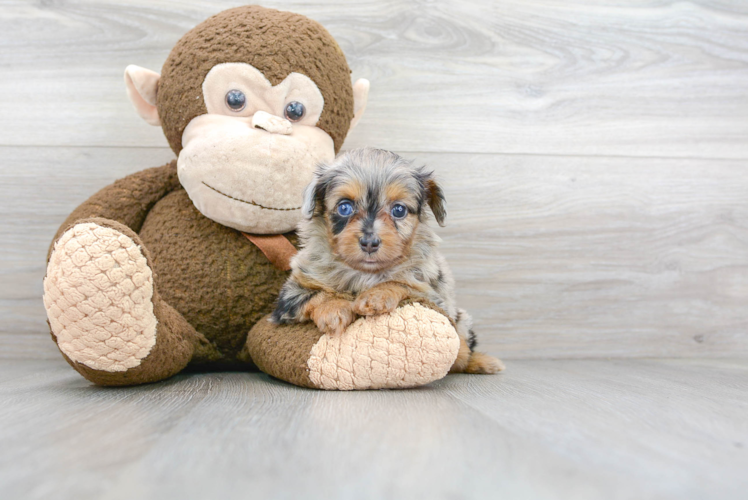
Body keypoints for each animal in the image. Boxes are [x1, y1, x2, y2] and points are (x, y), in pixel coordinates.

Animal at [270, 146, 502, 374]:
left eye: (399, 210)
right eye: (344, 207)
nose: (369, 243)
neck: (364, 273)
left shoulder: (431, 295)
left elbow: (401, 283)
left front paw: (377, 296)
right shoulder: (291, 294)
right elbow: (317, 294)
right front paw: (333, 309)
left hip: (462, 320)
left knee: (463, 350)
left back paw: (481, 362)